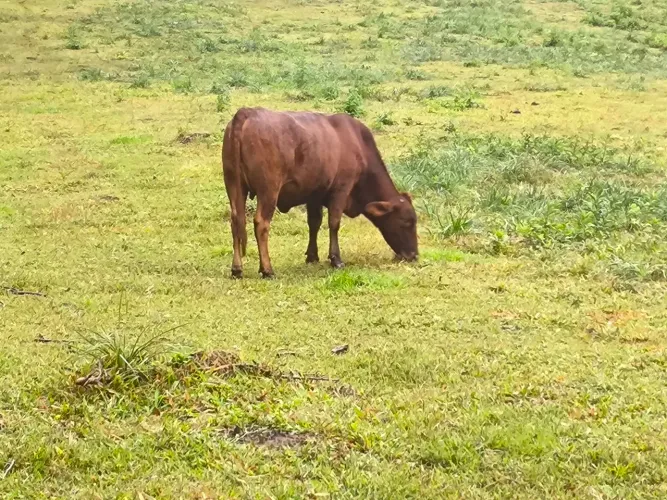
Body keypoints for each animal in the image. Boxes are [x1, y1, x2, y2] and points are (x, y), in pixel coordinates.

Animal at [222, 107, 418, 278]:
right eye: (406, 222)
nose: (414, 254)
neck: (357, 143)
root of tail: (246, 113)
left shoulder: (314, 195)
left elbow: (314, 223)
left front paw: (312, 255)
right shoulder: (341, 190)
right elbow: (334, 223)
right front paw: (336, 259)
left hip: (234, 187)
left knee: (236, 221)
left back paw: (237, 268)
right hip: (269, 191)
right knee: (261, 224)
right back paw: (267, 269)